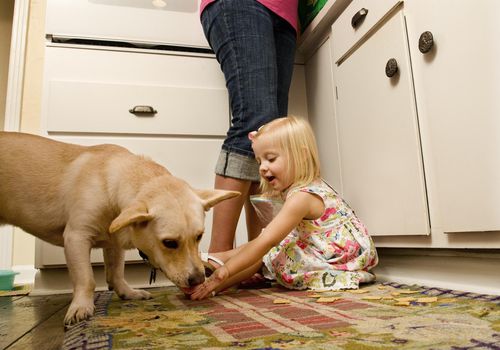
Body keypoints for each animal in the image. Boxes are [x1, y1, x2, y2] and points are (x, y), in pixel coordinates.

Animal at [0, 133, 239, 324]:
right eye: (169, 243)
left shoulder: (114, 244)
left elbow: (116, 273)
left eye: (199, 236)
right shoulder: (76, 238)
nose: (199, 280)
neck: (110, 186)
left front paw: (127, 292)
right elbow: (86, 279)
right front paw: (81, 307)